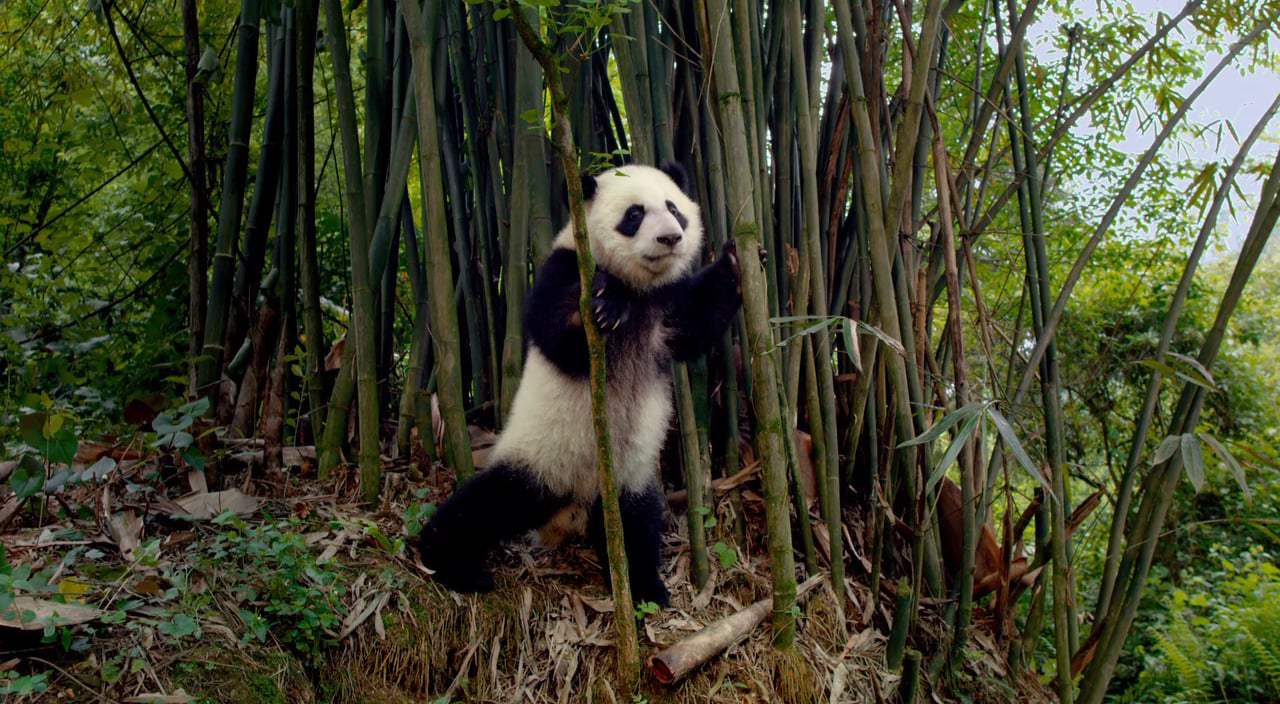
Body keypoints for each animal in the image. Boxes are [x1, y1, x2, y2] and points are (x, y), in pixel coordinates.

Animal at [417, 162, 742, 607]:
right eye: (634, 215)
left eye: (674, 208)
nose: (670, 237)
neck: (638, 286)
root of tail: (576, 500)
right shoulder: (561, 267)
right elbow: (556, 329)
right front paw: (605, 304)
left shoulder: (666, 305)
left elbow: (698, 320)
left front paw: (734, 261)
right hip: (540, 459)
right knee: (486, 504)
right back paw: (451, 563)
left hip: (629, 476)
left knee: (636, 526)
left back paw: (645, 589)